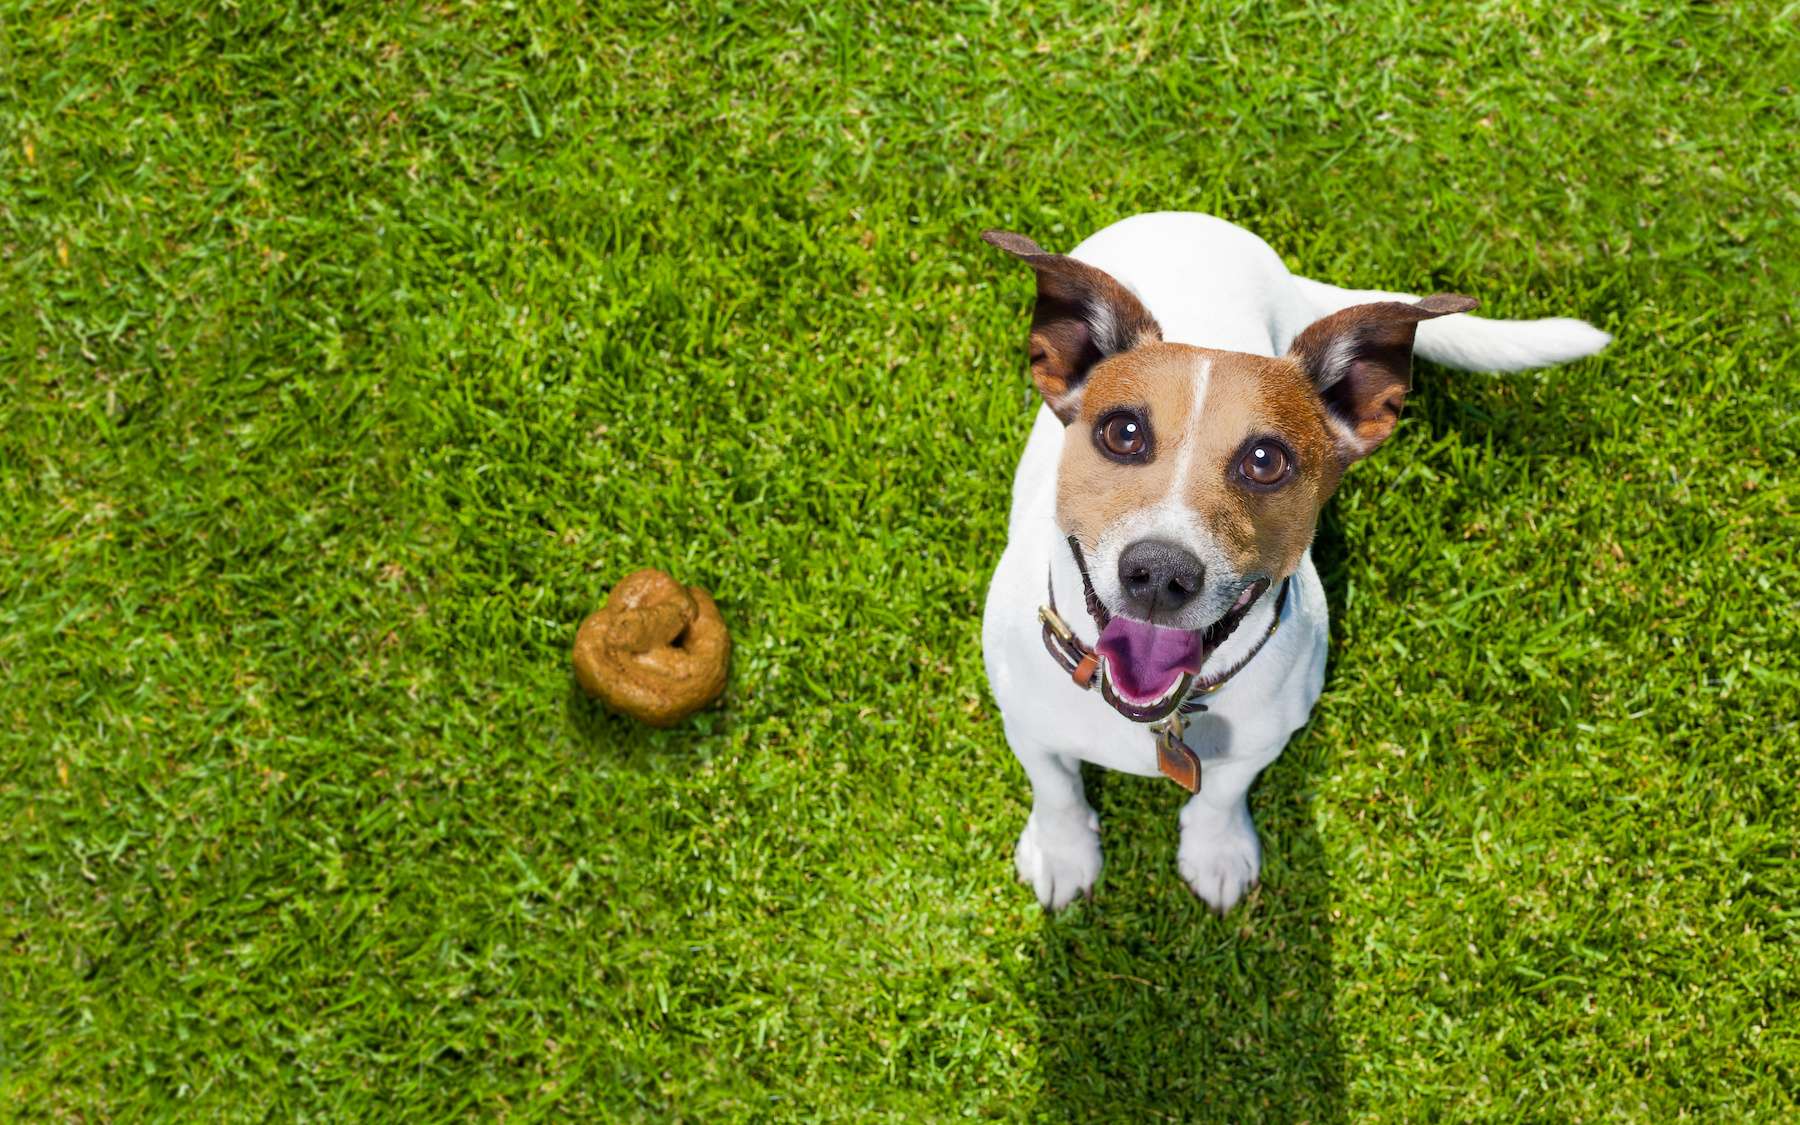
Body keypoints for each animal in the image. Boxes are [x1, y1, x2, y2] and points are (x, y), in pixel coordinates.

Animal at [979, 212, 1612, 914]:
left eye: (1265, 460)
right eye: (1122, 432)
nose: (1160, 573)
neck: (1163, 715)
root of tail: (1194, 221)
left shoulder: (1263, 741)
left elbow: (1223, 795)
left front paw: (1216, 850)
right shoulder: (1024, 722)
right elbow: (1054, 785)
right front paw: (1062, 852)